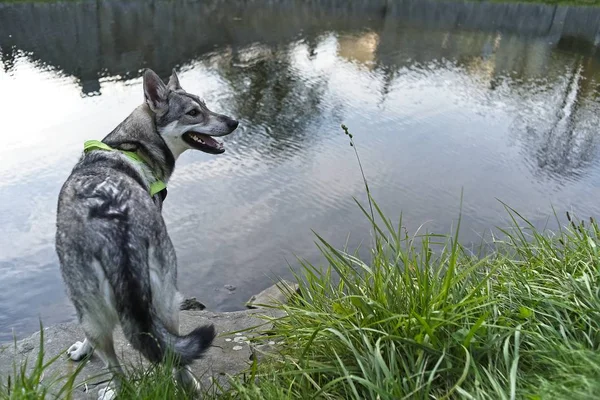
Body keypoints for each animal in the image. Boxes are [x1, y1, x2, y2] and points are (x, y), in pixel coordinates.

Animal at [53, 67, 237, 398]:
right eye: (193, 112)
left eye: (204, 104)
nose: (233, 122)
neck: (132, 145)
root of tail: (116, 234)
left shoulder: (89, 311)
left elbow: (89, 337)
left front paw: (84, 350)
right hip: (167, 300)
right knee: (173, 358)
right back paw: (189, 386)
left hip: (132, 304)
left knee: (123, 366)